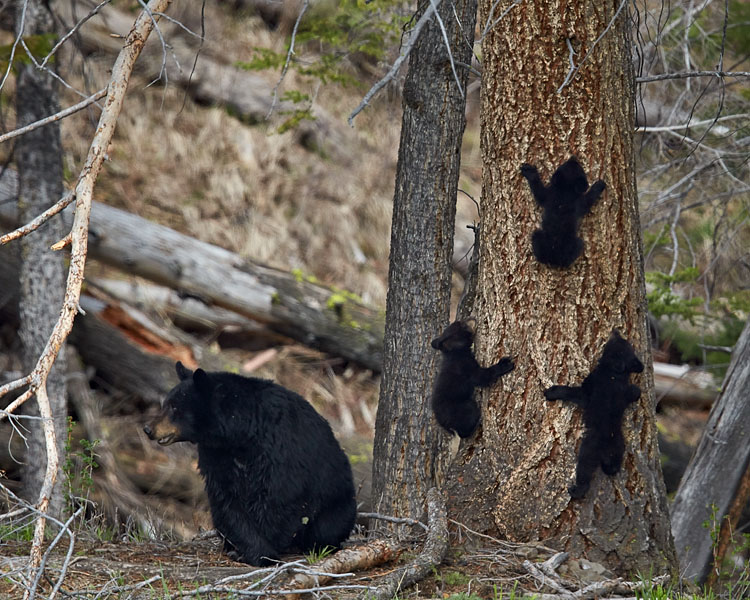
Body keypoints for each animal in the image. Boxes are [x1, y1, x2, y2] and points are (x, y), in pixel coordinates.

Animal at [148, 360, 362, 568]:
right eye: (166, 404)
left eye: (174, 407)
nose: (148, 428)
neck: (240, 434)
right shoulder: (216, 456)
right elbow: (227, 501)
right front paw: (249, 551)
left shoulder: (278, 450)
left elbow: (278, 499)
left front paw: (262, 554)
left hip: (337, 500)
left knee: (328, 526)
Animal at [548, 330, 648, 500]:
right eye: (626, 342)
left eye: (618, 342)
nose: (615, 331)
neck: (614, 374)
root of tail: (607, 450)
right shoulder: (622, 390)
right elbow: (633, 392)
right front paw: (636, 391)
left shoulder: (593, 385)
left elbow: (579, 393)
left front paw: (550, 392)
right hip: (619, 447)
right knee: (613, 466)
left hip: (590, 448)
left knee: (584, 468)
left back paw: (577, 489)